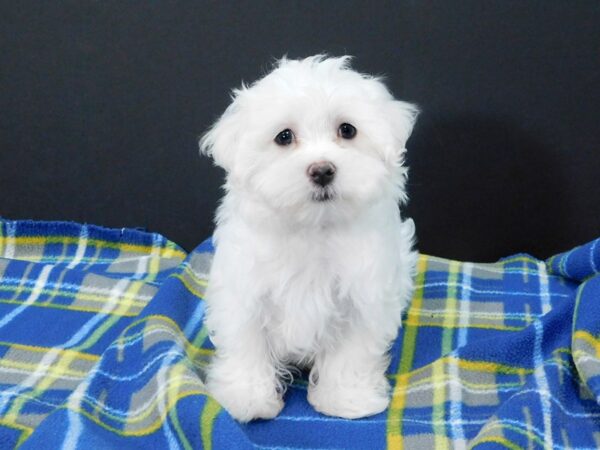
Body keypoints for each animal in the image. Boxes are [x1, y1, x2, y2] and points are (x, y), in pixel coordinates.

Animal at [199, 55, 420, 422]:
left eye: (347, 130)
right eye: (284, 136)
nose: (322, 170)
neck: (313, 228)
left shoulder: (362, 298)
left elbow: (351, 353)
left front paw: (346, 398)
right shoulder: (245, 293)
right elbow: (247, 345)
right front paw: (247, 397)